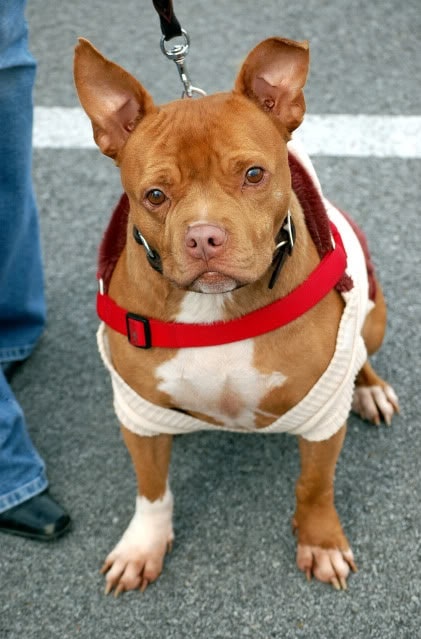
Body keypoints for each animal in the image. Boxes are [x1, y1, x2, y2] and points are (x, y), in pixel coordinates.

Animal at [74, 36, 398, 596]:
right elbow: (151, 490)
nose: (204, 237)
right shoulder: (139, 413)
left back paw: (371, 389)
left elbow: (315, 484)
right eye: (154, 195)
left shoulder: (322, 414)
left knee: (361, 353)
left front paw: (321, 542)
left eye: (253, 175)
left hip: (371, 319)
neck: (216, 307)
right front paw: (143, 546)